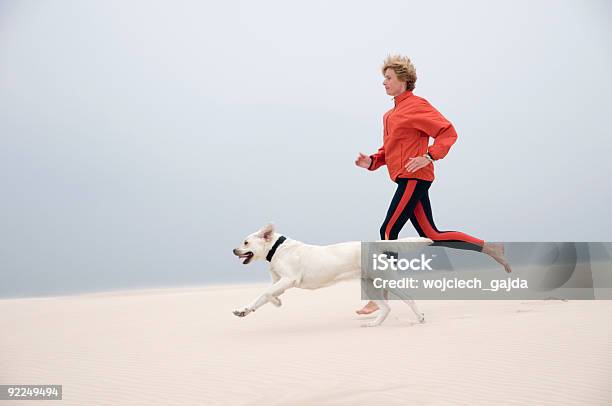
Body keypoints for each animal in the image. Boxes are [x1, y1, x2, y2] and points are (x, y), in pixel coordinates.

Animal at [232, 222, 432, 326]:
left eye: (246, 242)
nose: (234, 250)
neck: (277, 248)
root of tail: (372, 244)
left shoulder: (289, 279)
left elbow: (266, 293)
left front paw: (276, 301)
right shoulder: (277, 283)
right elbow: (261, 297)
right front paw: (245, 310)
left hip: (386, 280)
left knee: (408, 298)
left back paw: (420, 318)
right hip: (368, 285)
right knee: (386, 307)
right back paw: (373, 324)